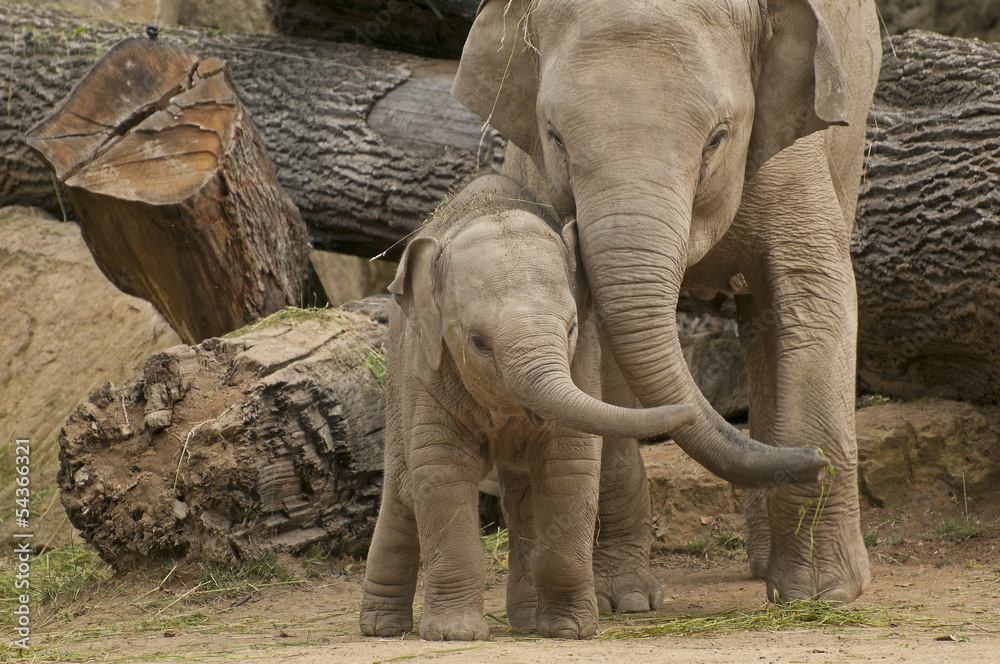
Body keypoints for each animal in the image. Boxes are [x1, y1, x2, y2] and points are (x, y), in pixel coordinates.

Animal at [360, 173, 698, 640]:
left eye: (571, 327)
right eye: (478, 342)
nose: (693, 411)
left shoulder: (583, 360)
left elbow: (569, 469)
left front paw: (570, 630)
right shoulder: (425, 367)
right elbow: (440, 471)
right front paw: (454, 635)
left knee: (522, 502)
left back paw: (523, 622)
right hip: (395, 373)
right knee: (402, 488)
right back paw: (382, 629)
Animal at [451, 0, 881, 604]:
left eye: (717, 138)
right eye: (555, 137)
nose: (813, 464)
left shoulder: (792, 147)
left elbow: (813, 289)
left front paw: (823, 593)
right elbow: (597, 351)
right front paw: (623, 600)